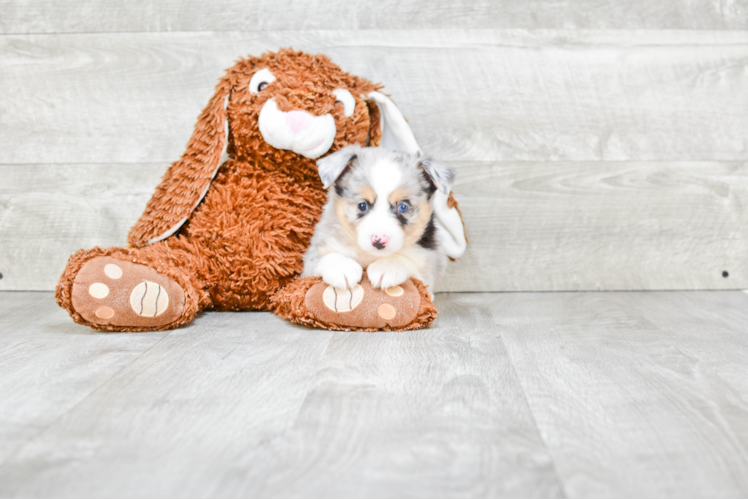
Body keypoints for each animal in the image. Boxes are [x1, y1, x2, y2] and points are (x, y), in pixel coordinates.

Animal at [302, 145, 456, 292]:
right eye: (362, 205)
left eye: (403, 207)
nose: (379, 240)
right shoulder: (312, 259)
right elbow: (326, 257)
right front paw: (342, 268)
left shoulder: (428, 272)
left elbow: (408, 262)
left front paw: (387, 267)